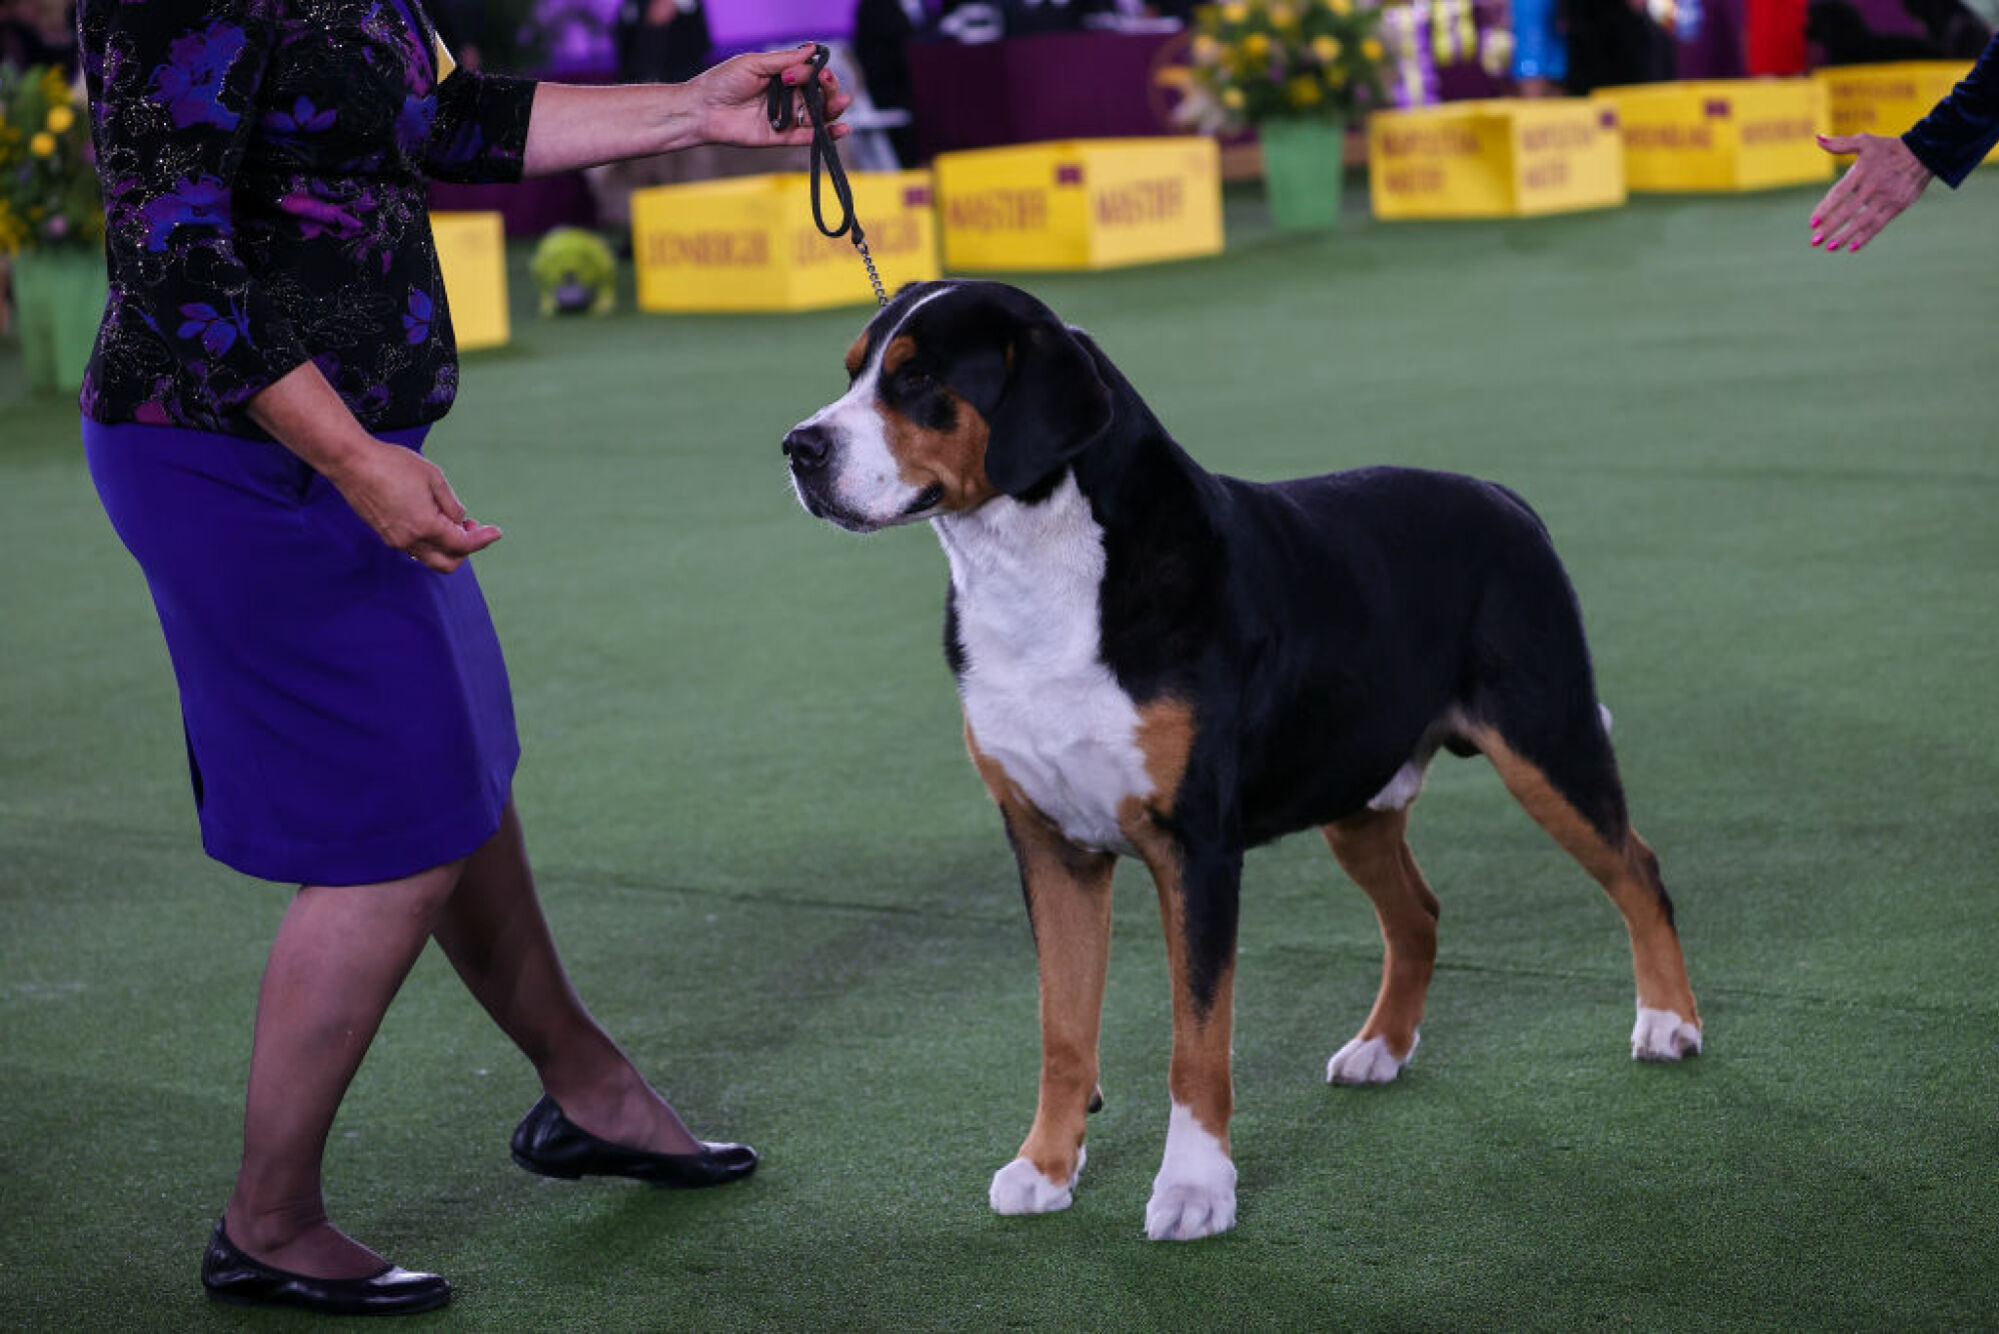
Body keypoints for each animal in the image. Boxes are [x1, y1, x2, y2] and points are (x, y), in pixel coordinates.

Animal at [779, 280, 1703, 1240]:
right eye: (853, 372)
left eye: (919, 378)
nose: (799, 448)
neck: (1041, 577)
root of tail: (1501, 496)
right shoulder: (1049, 844)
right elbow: (1062, 1028)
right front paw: (1044, 1168)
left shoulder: (1195, 847)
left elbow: (1196, 1038)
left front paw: (1194, 1189)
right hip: (1356, 797)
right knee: (1416, 913)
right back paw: (1380, 1049)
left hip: (1545, 744)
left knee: (1636, 869)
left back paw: (1668, 1025)